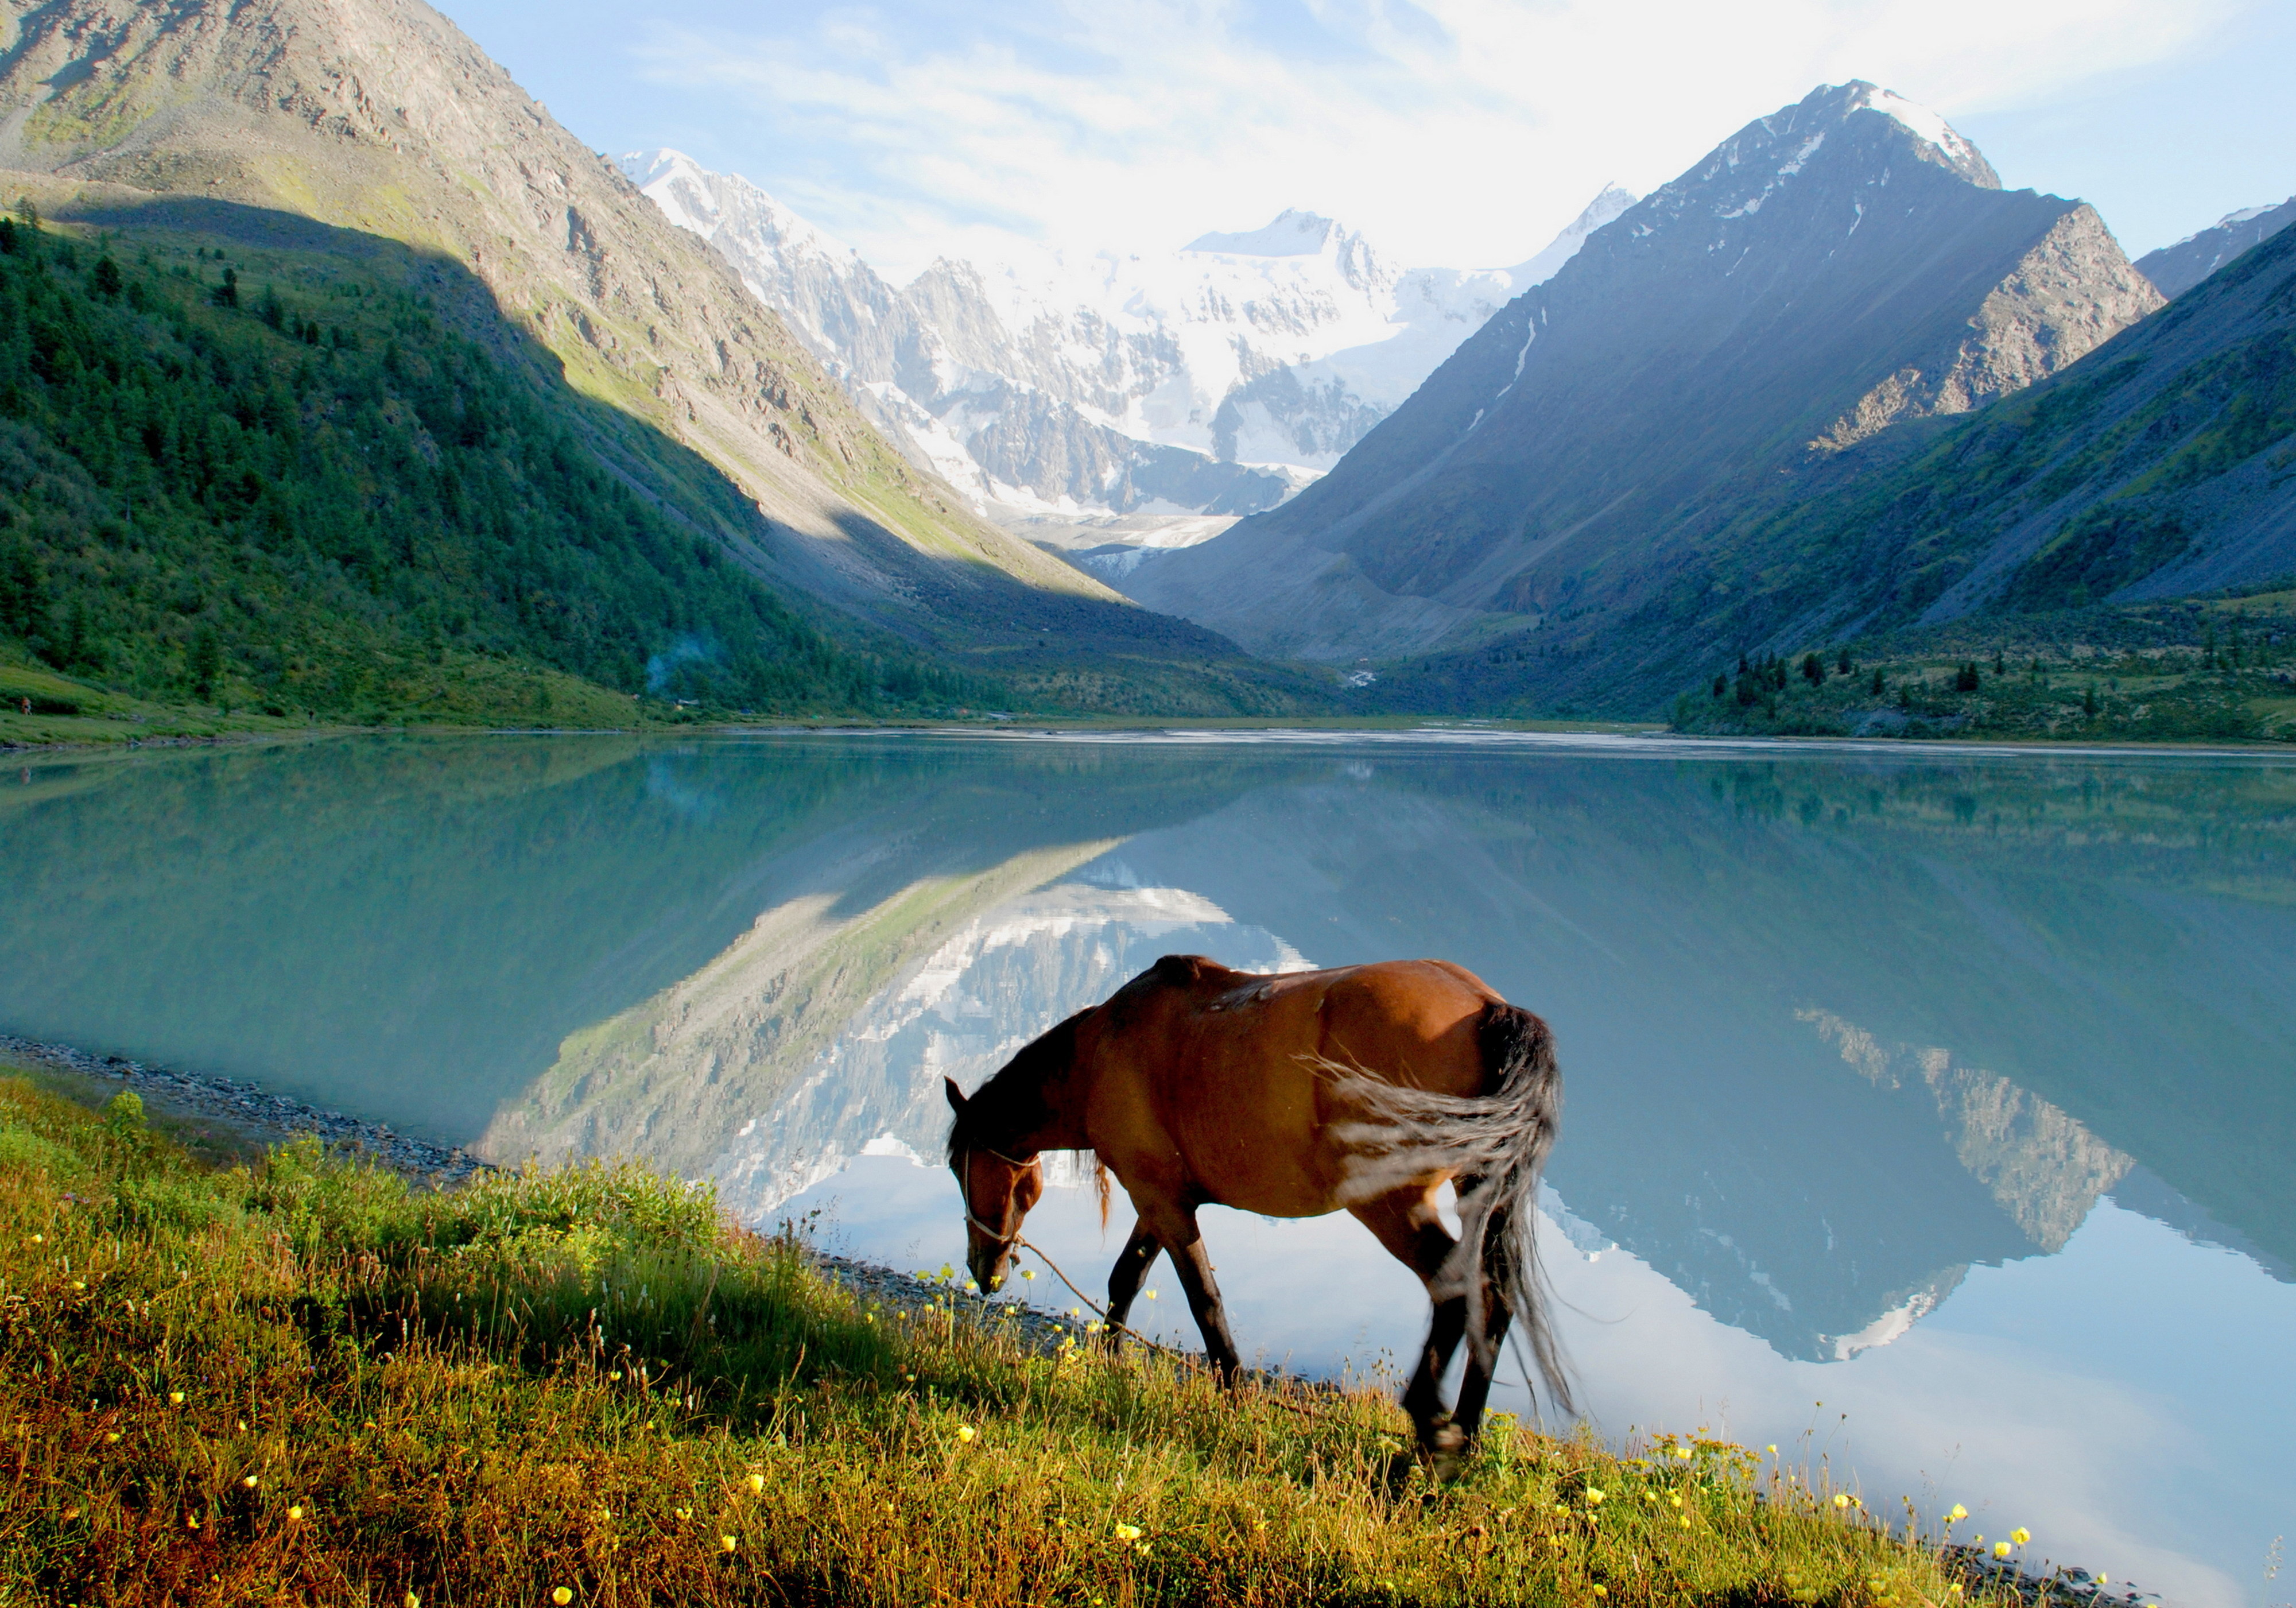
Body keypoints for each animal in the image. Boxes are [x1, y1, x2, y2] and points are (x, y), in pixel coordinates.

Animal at [941, 960, 1570, 1460]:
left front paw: (1232, 1395)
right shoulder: (1161, 1197)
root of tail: (1487, 1007)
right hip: (1474, 1192)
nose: (984, 1270)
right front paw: (1111, 1360)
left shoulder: (1160, 1201)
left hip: (1389, 1204)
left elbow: (1202, 1299)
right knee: (1493, 1296)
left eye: (957, 1165)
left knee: (1457, 1289)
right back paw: (1464, 1437)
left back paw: (1427, 1439)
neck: (1101, 1052)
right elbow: (1128, 1277)